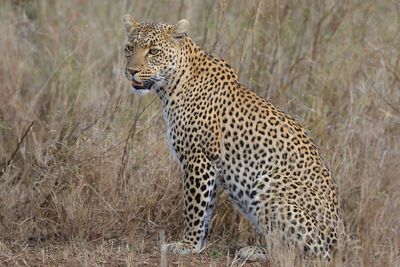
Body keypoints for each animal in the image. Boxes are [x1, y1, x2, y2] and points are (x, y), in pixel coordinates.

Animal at [122, 14, 344, 262]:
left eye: (154, 51)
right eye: (129, 48)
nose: (131, 71)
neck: (170, 86)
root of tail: (339, 244)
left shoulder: (198, 158)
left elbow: (193, 207)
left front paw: (187, 245)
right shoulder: (210, 167)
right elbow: (205, 207)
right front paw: (199, 243)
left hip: (270, 183)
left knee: (296, 252)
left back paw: (255, 251)